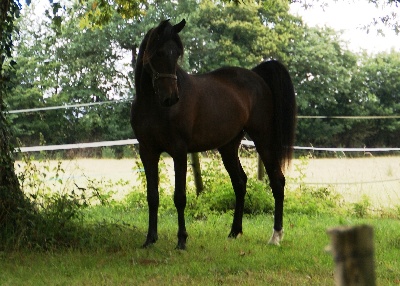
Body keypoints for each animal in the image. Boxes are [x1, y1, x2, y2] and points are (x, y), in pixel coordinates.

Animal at [130, 19, 296, 249]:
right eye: (159, 53)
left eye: (177, 54)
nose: (171, 98)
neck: (153, 105)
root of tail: (257, 76)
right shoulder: (147, 151)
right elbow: (152, 196)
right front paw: (150, 239)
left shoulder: (179, 151)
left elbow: (179, 197)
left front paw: (181, 240)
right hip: (228, 146)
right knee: (240, 182)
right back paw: (235, 231)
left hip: (263, 139)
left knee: (277, 181)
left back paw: (276, 236)